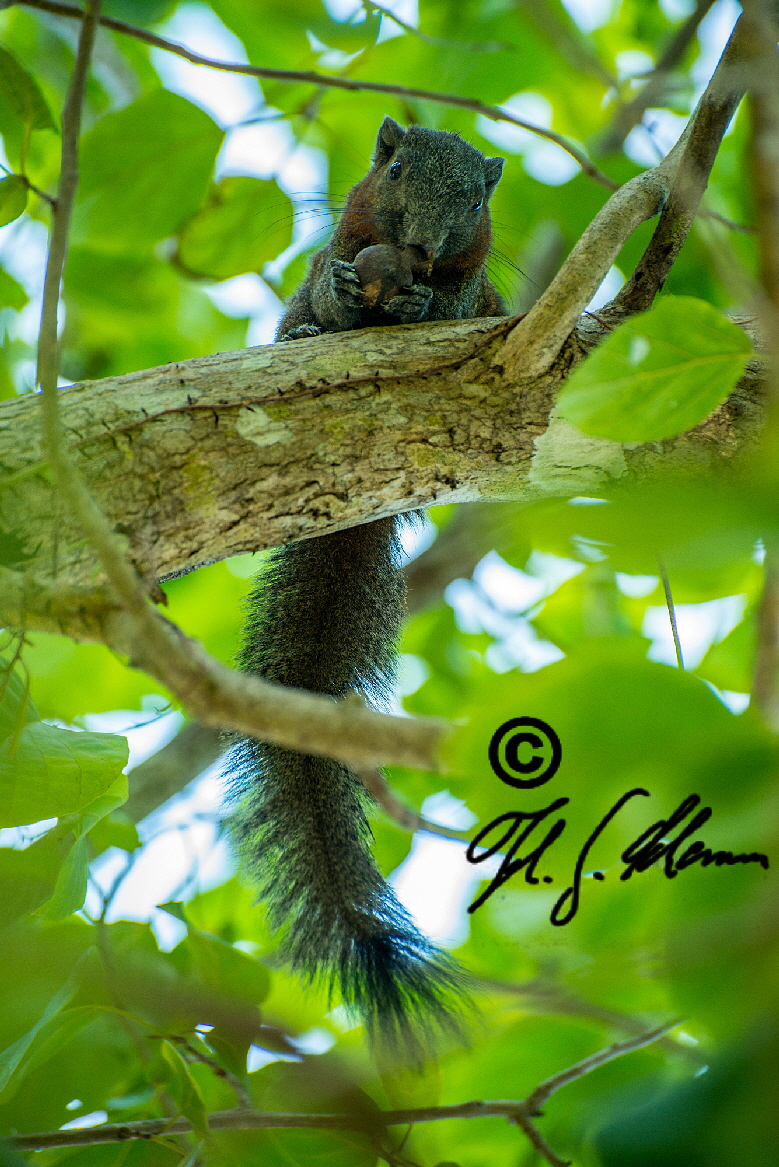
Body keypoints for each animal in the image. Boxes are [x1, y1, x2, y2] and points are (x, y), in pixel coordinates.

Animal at [226, 116, 506, 1059]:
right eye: (395, 169)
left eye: (476, 200)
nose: (418, 246)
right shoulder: (328, 250)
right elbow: (323, 283)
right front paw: (348, 295)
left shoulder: (476, 294)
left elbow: (455, 308)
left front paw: (418, 301)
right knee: (296, 324)